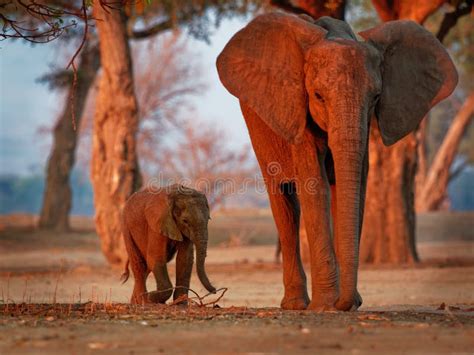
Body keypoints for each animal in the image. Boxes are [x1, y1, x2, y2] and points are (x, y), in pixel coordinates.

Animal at [217, 12, 458, 312]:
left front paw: (345, 303)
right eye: (318, 96)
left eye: (376, 98)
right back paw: (296, 305)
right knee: (284, 201)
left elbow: (357, 188)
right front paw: (324, 306)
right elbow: (314, 185)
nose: (348, 302)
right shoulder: (299, 113)